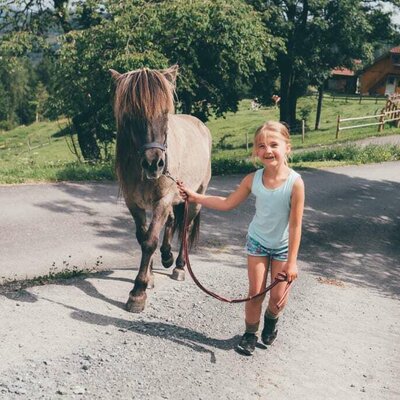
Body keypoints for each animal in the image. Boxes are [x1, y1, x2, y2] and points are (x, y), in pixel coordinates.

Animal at [109, 65, 212, 312]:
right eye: (131, 116)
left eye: (165, 114)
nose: (154, 164)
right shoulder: (134, 204)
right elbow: (143, 236)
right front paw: (150, 276)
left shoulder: (162, 201)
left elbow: (149, 241)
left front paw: (138, 291)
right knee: (173, 221)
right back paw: (167, 257)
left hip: (195, 198)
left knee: (185, 227)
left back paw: (180, 266)